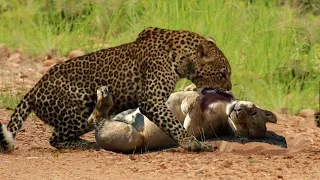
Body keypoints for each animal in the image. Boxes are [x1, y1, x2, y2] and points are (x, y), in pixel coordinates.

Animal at [0, 27, 231, 153]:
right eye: (223, 73)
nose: (229, 88)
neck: (180, 57)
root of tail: (33, 90)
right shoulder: (152, 100)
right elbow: (173, 124)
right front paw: (193, 144)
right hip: (77, 114)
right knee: (56, 138)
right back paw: (88, 144)